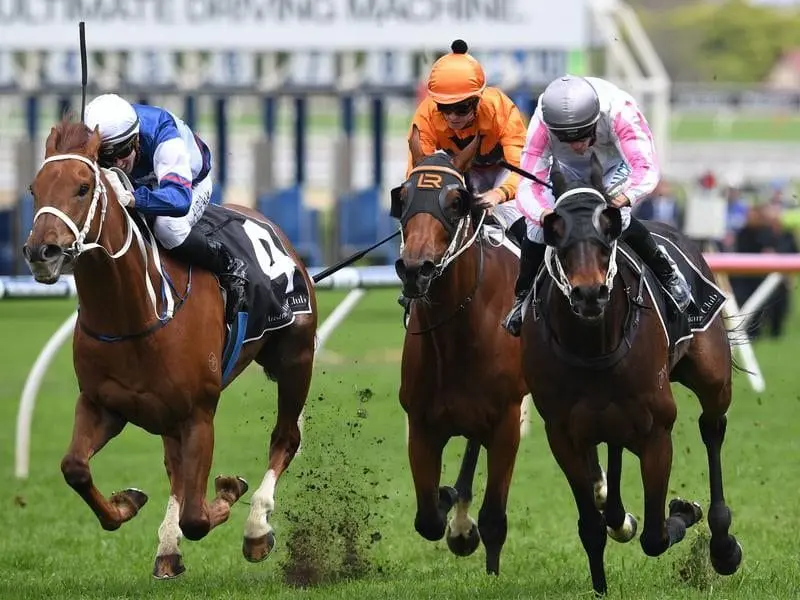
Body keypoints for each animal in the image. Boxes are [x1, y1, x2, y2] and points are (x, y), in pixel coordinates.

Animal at [21, 120, 318, 576]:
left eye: (83, 187)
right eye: (34, 189)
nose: (42, 252)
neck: (132, 316)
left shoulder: (199, 413)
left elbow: (198, 516)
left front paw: (228, 492)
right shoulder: (102, 404)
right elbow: (75, 468)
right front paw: (126, 505)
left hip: (295, 358)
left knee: (285, 438)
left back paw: (255, 528)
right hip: (166, 413)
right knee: (175, 467)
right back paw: (167, 547)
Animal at [390, 127, 536, 576]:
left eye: (456, 201)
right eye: (402, 197)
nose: (415, 269)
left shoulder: (506, 421)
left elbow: (493, 518)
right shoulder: (421, 423)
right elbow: (427, 519)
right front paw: (450, 509)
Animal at [520, 155, 740, 596]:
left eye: (608, 230)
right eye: (555, 232)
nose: (589, 294)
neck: (595, 346)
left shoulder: (656, 430)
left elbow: (656, 536)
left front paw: (685, 510)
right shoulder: (564, 434)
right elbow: (590, 526)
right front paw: (600, 584)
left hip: (712, 376)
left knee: (712, 427)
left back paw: (723, 545)